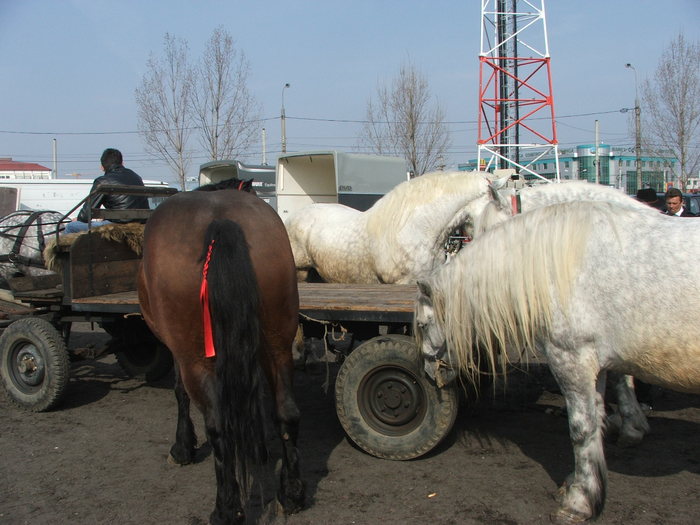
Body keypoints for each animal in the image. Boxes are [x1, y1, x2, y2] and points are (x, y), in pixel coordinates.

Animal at [138, 182, 304, 520]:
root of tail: (220, 220)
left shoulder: (179, 353)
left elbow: (180, 392)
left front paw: (182, 448)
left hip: (196, 358)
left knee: (217, 426)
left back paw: (226, 509)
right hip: (278, 347)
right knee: (287, 412)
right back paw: (291, 494)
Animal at [416, 201, 700, 520]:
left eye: (423, 325)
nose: (428, 371)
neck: (556, 269)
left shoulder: (570, 360)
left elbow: (581, 429)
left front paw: (579, 502)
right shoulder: (595, 366)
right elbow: (595, 424)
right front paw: (581, 484)